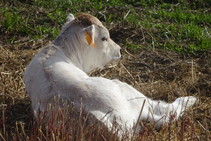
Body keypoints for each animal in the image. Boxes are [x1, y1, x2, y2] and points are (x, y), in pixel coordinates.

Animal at [23, 13, 197, 135]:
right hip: (126, 90)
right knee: (165, 111)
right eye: (104, 38)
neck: (60, 50)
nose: (120, 49)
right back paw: (189, 99)